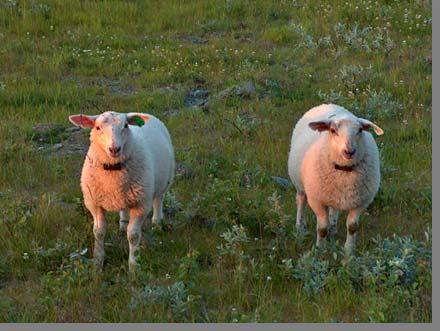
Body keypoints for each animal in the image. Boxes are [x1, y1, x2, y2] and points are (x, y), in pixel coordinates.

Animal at [68, 111, 174, 272]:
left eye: (125, 126)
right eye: (97, 127)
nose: (114, 149)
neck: (113, 170)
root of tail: (147, 113)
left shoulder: (141, 205)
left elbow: (133, 235)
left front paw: (134, 266)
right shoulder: (94, 204)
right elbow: (99, 232)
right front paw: (98, 262)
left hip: (163, 181)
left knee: (158, 200)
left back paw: (157, 223)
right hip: (127, 195)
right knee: (124, 209)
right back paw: (122, 226)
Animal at [288, 104, 384, 254]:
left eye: (360, 130)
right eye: (333, 130)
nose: (349, 152)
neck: (344, 170)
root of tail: (327, 104)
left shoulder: (361, 202)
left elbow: (352, 227)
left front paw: (349, 251)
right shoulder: (316, 200)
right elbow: (322, 228)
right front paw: (320, 250)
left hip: (334, 195)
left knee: (334, 212)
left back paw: (332, 231)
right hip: (300, 184)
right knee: (301, 201)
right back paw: (300, 228)